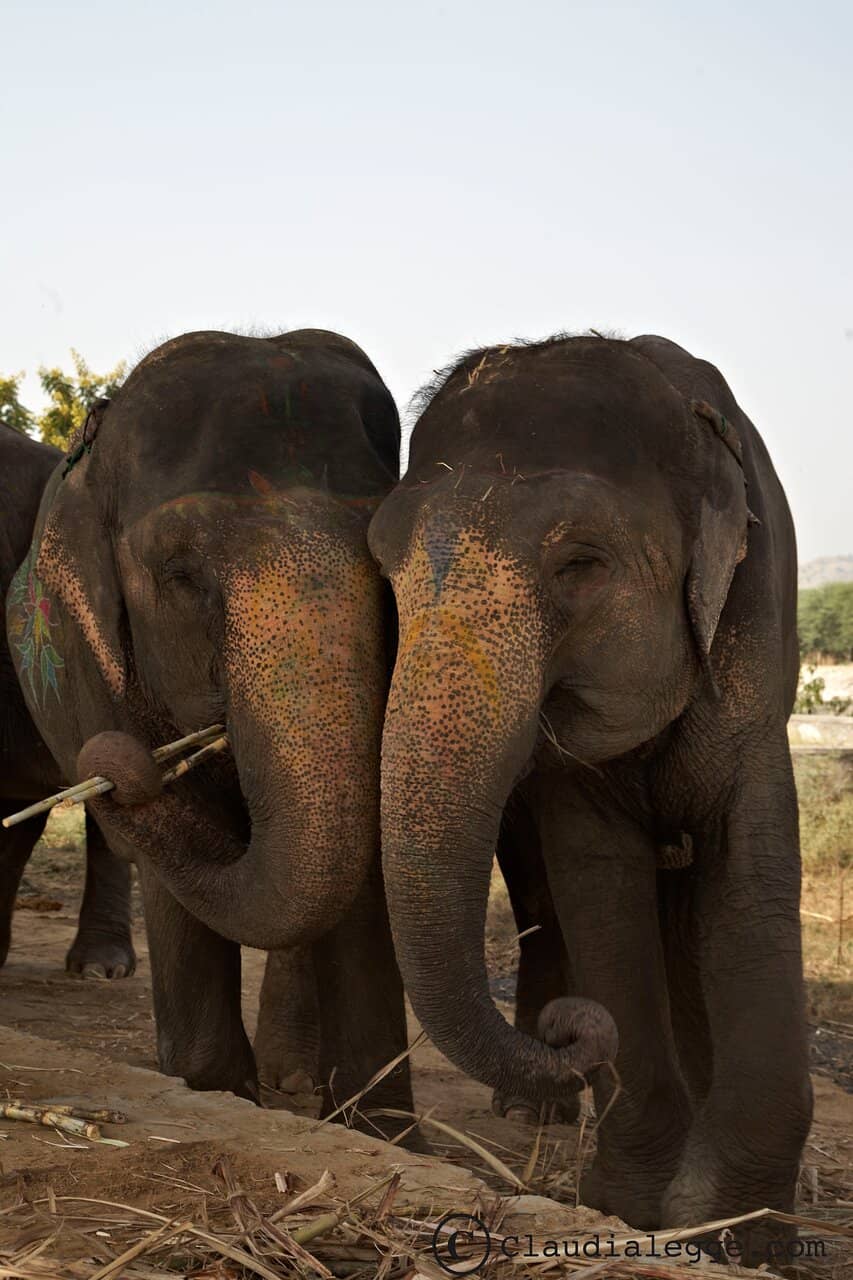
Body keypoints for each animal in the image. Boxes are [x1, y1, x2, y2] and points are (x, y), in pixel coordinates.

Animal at [369, 333, 812, 1252]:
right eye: (383, 567)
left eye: (580, 564)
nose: (568, 1031)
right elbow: (597, 883)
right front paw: (633, 1207)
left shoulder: (757, 637)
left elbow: (747, 872)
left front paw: (732, 1231)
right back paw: (532, 1110)